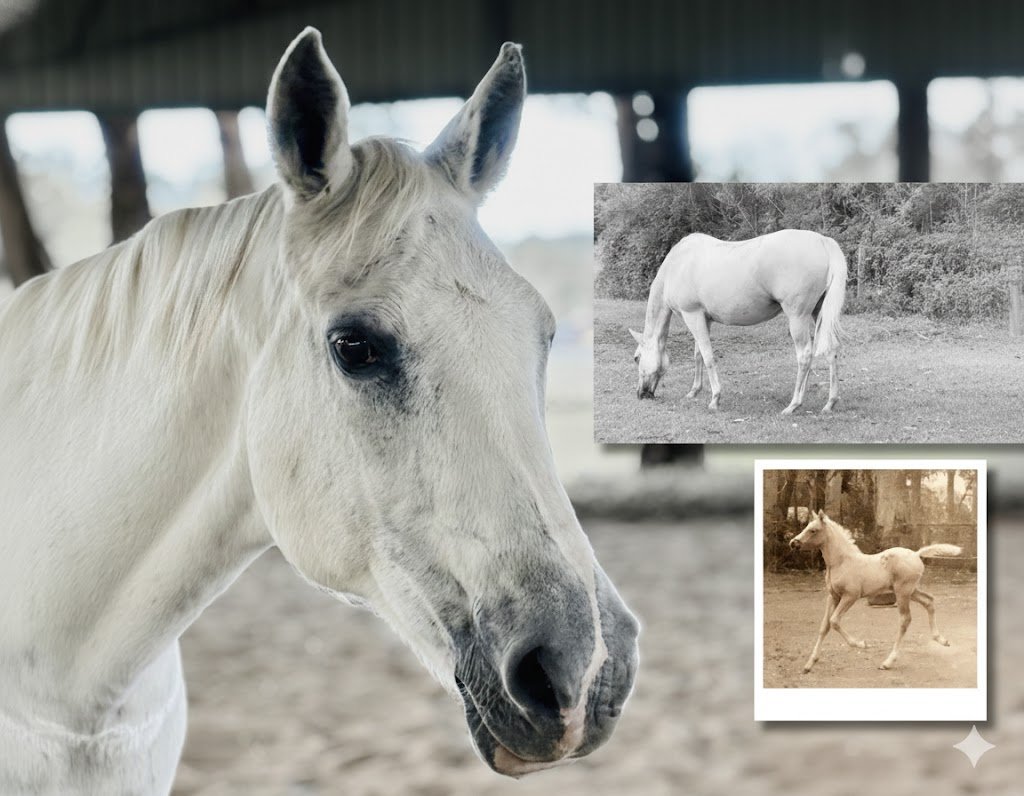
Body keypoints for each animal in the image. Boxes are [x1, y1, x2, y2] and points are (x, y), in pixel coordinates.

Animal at [629, 229, 847, 414]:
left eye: (636, 358)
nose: (641, 394)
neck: (677, 265)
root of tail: (822, 240)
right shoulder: (704, 319)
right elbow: (698, 354)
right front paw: (694, 391)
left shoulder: (692, 315)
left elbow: (708, 357)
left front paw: (715, 399)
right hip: (818, 313)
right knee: (831, 350)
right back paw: (830, 403)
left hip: (797, 317)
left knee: (804, 356)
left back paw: (794, 404)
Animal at [789, 510, 962, 672]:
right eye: (806, 527)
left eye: (813, 530)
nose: (793, 543)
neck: (841, 562)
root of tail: (916, 554)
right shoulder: (833, 597)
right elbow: (824, 626)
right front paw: (809, 664)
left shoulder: (850, 596)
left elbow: (834, 621)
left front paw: (861, 644)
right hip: (911, 591)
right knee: (929, 601)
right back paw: (941, 640)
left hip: (902, 592)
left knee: (905, 619)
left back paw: (888, 662)